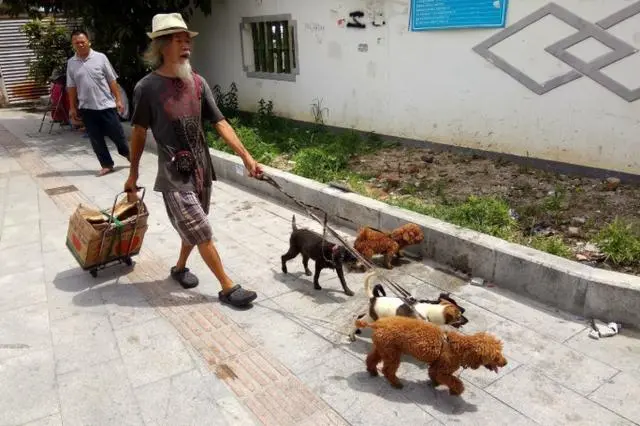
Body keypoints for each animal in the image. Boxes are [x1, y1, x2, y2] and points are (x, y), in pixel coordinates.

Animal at [358, 316, 508, 396]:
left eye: (500, 352)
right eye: (495, 356)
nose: (505, 362)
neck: (458, 347)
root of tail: (377, 323)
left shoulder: (436, 366)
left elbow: (433, 373)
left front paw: (434, 382)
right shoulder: (443, 370)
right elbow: (455, 382)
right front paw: (456, 391)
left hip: (383, 348)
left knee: (371, 359)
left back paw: (372, 371)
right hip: (391, 353)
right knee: (387, 370)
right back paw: (395, 383)